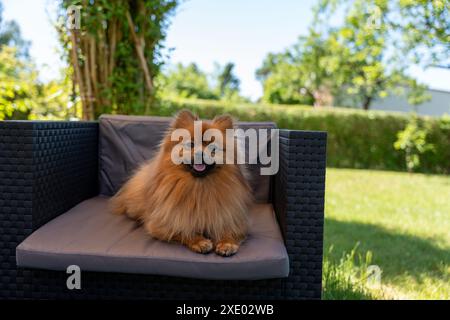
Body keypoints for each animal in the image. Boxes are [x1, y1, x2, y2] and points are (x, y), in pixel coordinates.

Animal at [110, 111, 253, 256]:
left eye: (213, 148)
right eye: (190, 145)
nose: (200, 153)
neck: (199, 187)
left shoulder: (230, 218)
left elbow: (229, 230)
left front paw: (227, 243)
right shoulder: (163, 224)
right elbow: (183, 230)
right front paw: (199, 241)